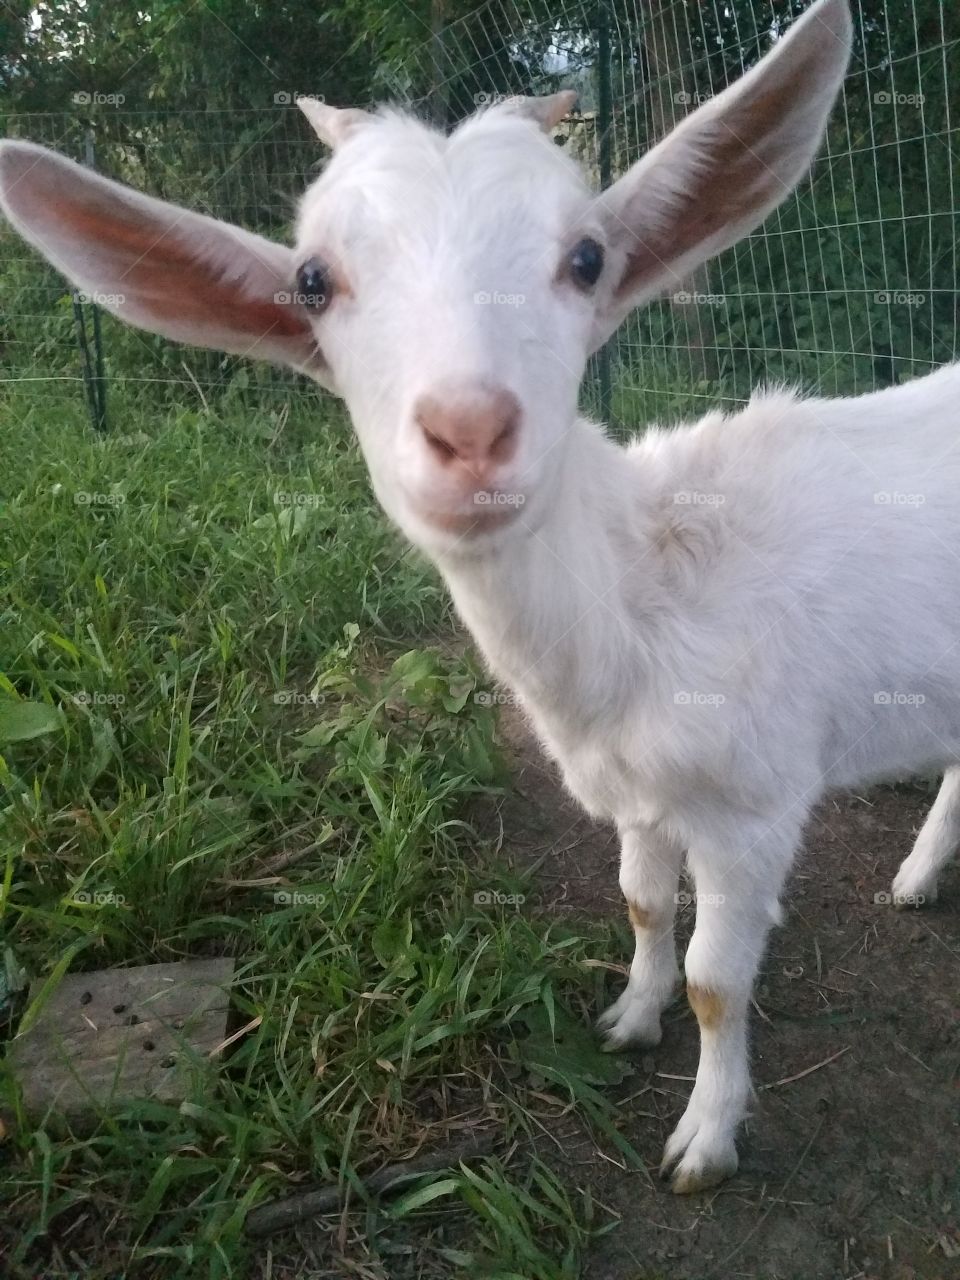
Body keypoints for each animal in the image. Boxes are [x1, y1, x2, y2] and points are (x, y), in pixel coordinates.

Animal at [2, 0, 954, 1193]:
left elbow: (715, 979)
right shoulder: (637, 790)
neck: (647, 585)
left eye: (587, 258)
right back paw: (918, 876)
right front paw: (627, 1018)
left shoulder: (754, 800)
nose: (469, 429)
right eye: (312, 281)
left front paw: (705, 1137)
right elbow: (643, 903)